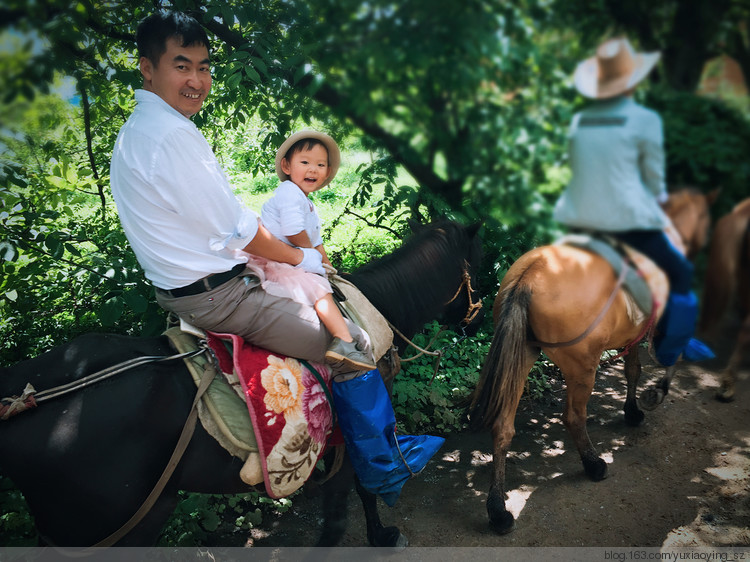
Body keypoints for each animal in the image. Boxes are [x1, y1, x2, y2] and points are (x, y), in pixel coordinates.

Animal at [0, 221, 484, 544]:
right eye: (476, 268)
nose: (475, 322)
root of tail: (24, 394)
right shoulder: (352, 440)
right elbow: (353, 498)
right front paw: (381, 535)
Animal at [470, 186, 716, 532]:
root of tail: (531, 275)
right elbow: (670, 358)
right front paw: (654, 396)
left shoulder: (632, 335)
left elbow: (633, 369)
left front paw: (633, 411)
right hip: (582, 366)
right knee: (573, 417)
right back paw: (593, 465)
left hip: (522, 358)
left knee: (502, 427)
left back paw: (498, 511)